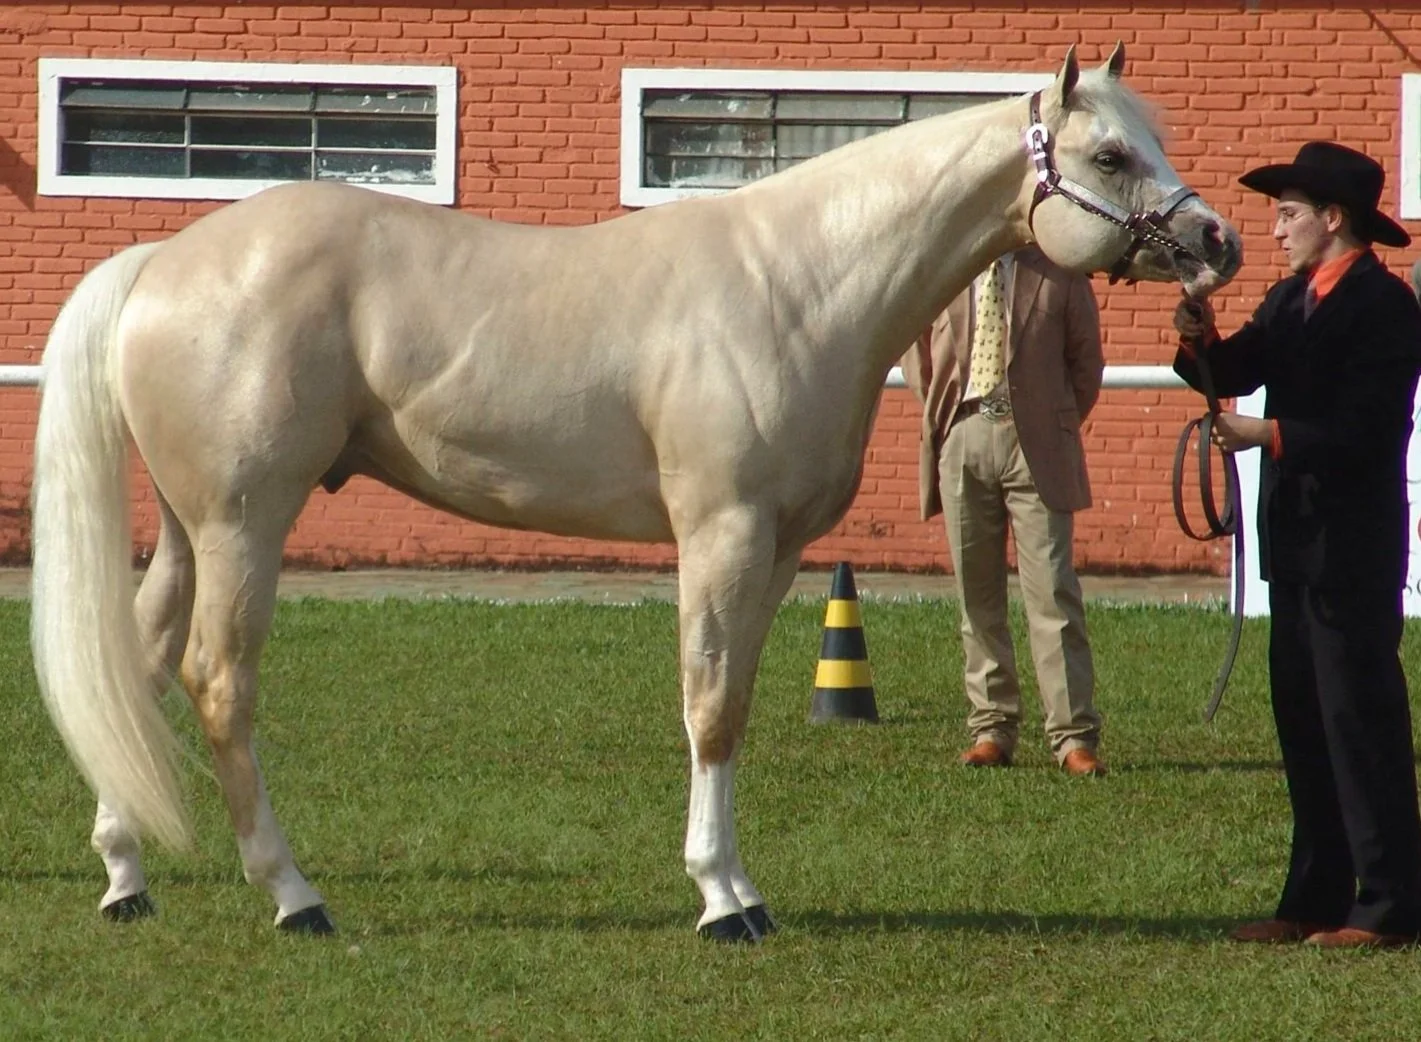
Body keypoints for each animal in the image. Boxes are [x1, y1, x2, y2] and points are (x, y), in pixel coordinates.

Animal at [30, 43, 1241, 942]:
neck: (796, 283)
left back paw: (126, 876)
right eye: (1107, 151)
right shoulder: (719, 533)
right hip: (245, 521)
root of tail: (163, 259)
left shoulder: (780, 550)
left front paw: (741, 887)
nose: (1215, 242)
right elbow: (706, 706)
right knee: (217, 681)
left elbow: (736, 703)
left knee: (141, 659)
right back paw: (294, 896)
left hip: (188, 526)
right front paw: (719, 901)